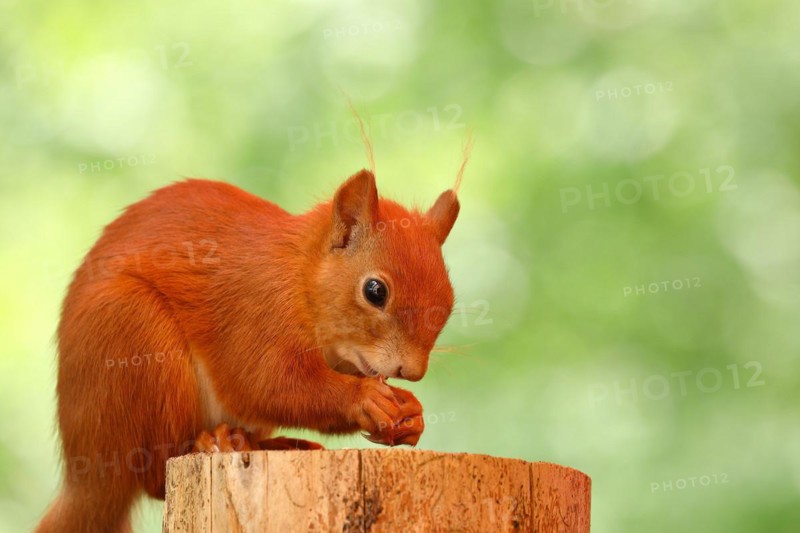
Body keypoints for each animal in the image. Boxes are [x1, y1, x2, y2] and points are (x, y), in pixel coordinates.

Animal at [35, 166, 463, 532]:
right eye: (375, 291)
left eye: (449, 298)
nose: (413, 372)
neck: (299, 275)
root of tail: (84, 475)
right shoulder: (255, 313)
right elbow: (267, 386)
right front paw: (364, 398)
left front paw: (412, 413)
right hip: (133, 333)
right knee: (153, 475)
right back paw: (217, 443)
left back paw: (269, 444)